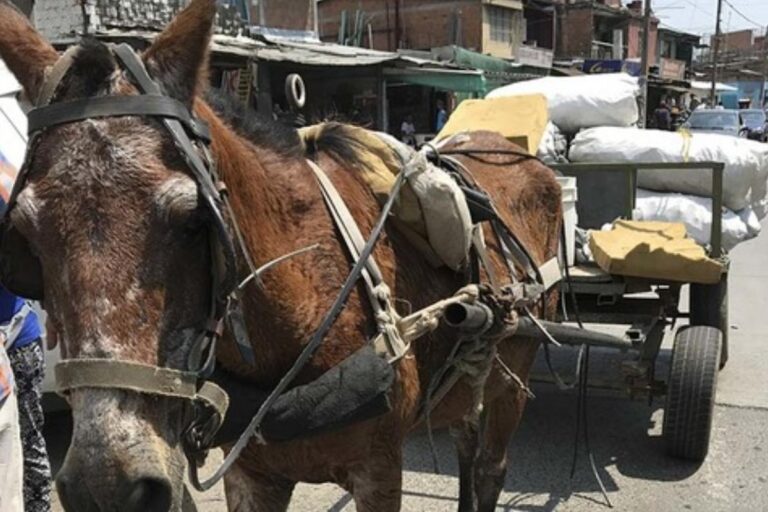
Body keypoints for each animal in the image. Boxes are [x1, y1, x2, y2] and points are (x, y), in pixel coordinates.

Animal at [0, 1, 562, 510]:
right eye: (25, 233)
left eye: (193, 221)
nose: (107, 487)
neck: (304, 298)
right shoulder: (251, 475)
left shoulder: (379, 470)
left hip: (517, 365)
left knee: (490, 467)